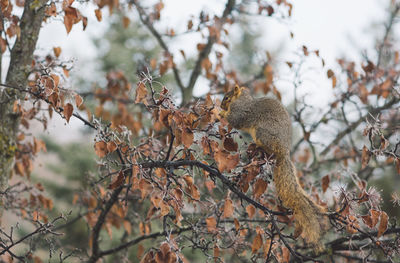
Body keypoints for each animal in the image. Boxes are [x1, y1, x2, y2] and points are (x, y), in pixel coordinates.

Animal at [219, 86, 328, 252]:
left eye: (226, 97)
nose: (220, 105)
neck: (242, 99)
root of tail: (284, 152)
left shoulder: (240, 111)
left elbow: (235, 120)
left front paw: (220, 113)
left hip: (263, 133)